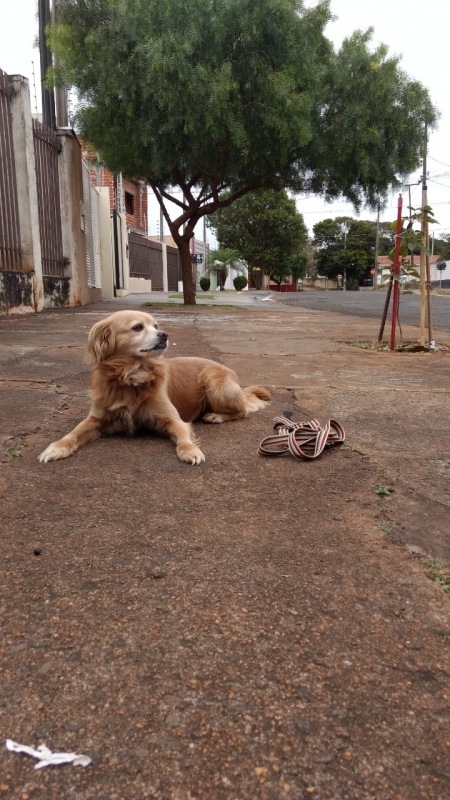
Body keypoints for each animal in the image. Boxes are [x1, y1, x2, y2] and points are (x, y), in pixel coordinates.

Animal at [38, 310, 270, 466]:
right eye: (137, 327)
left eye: (156, 326)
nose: (164, 334)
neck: (131, 377)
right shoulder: (96, 418)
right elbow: (73, 433)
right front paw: (57, 447)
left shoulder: (173, 419)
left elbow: (183, 437)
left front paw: (190, 450)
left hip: (214, 383)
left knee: (242, 412)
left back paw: (216, 416)